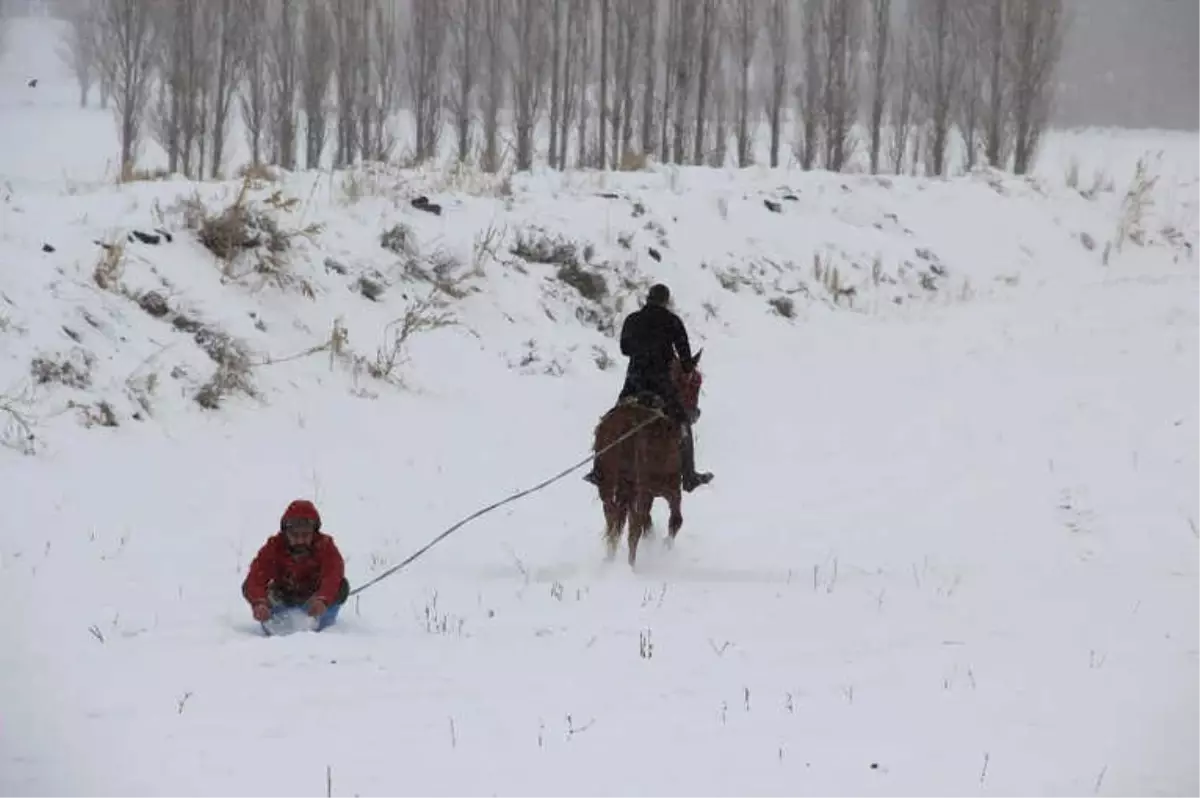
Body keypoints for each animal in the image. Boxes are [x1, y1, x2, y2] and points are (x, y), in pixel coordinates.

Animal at [588, 350, 700, 566]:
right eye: (694, 383)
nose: (694, 414)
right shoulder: (669, 489)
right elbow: (675, 521)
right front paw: (665, 549)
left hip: (609, 488)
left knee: (613, 523)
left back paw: (610, 560)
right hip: (642, 490)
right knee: (634, 530)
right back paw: (631, 567)